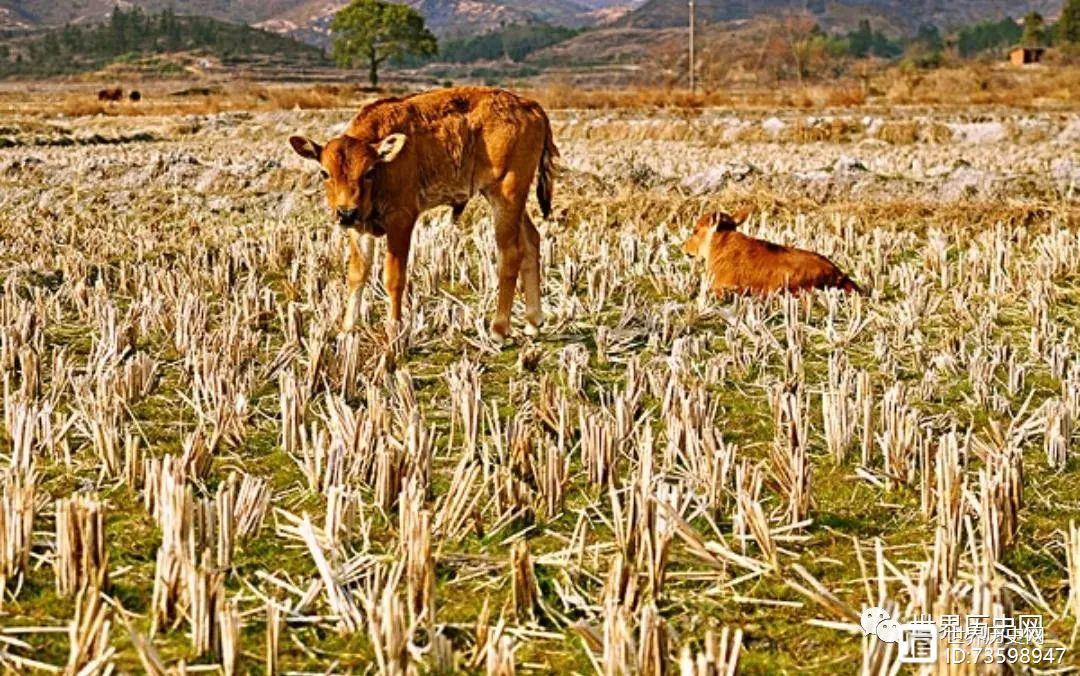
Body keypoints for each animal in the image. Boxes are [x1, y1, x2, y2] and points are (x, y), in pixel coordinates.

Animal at [287, 84, 557, 339]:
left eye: (369, 171)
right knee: (531, 241)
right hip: (509, 200)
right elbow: (357, 274)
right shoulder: (359, 227)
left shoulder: (401, 221)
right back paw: (533, 321)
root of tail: (529, 105)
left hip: (506, 194)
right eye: (325, 173)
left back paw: (499, 329)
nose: (346, 213)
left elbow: (394, 278)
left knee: (510, 253)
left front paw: (394, 332)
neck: (386, 164)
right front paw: (347, 329)